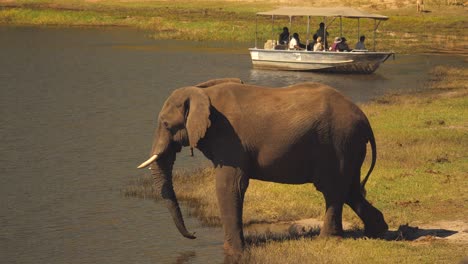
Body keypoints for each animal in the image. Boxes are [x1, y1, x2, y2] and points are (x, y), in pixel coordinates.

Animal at [138, 78, 388, 256]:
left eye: (166, 124)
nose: (194, 234)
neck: (202, 91)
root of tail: (364, 118)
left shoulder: (229, 139)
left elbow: (229, 185)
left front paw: (233, 252)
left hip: (340, 142)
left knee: (334, 190)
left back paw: (328, 240)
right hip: (349, 146)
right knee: (350, 189)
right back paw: (378, 231)